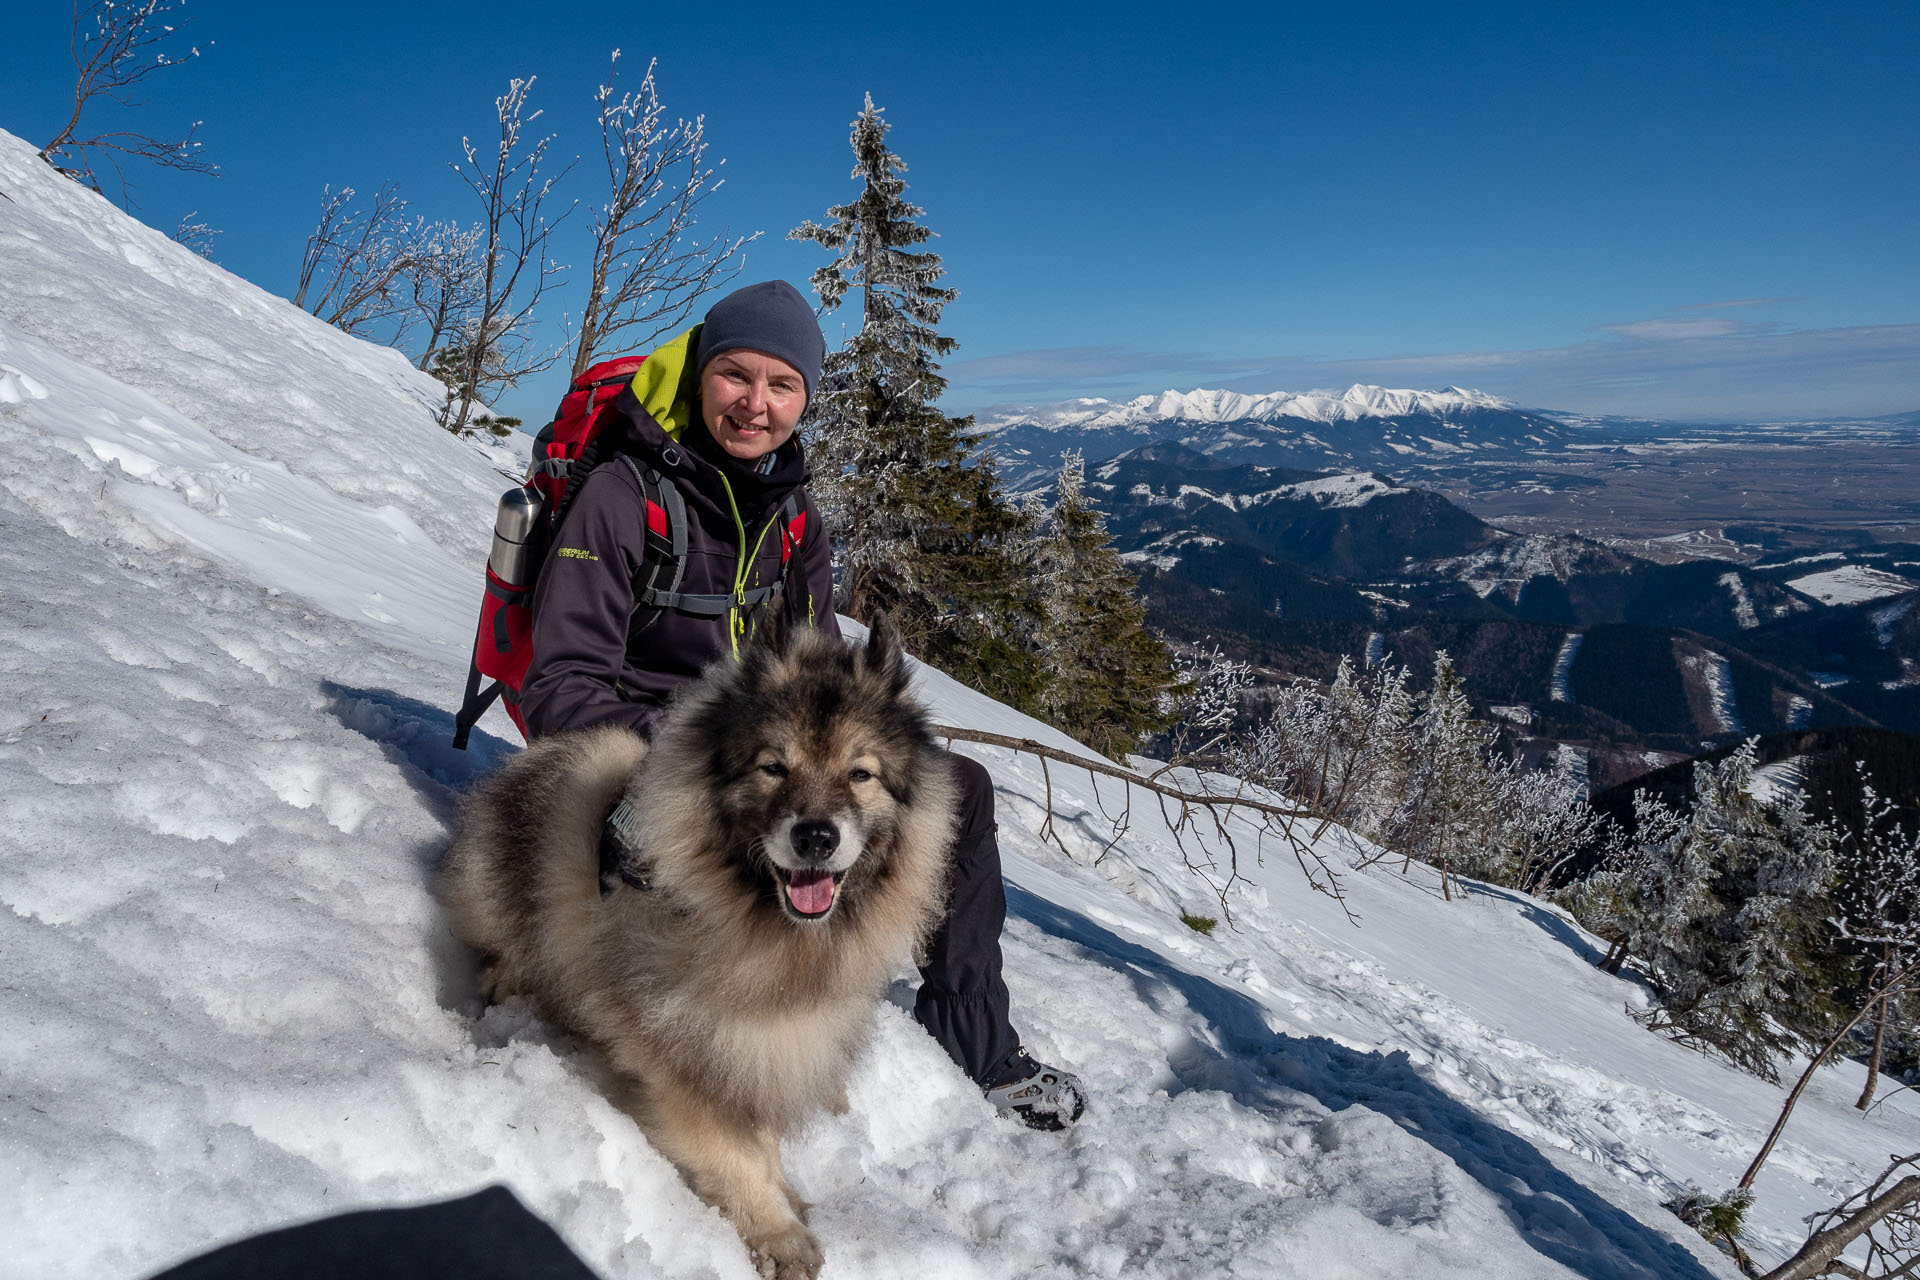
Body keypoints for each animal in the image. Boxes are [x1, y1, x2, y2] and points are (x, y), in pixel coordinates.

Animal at [447, 614, 960, 1274]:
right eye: (774, 768)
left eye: (860, 773)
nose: (816, 837)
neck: (771, 932)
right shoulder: (684, 1053)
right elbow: (732, 1152)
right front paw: (778, 1234)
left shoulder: (760, 1047)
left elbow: (762, 1138)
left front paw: (786, 1192)